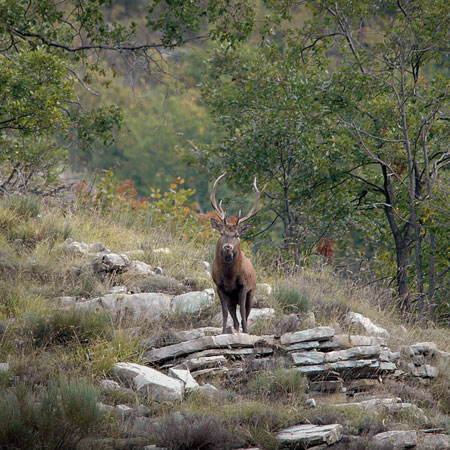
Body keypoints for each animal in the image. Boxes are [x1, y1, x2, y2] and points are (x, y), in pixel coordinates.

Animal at [210, 173, 264, 334]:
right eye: (222, 232)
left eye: (237, 235)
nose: (228, 247)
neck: (230, 277)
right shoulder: (219, 287)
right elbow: (224, 312)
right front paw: (222, 332)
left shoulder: (244, 287)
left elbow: (243, 313)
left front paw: (246, 333)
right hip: (231, 299)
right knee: (234, 319)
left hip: (252, 292)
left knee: (245, 313)